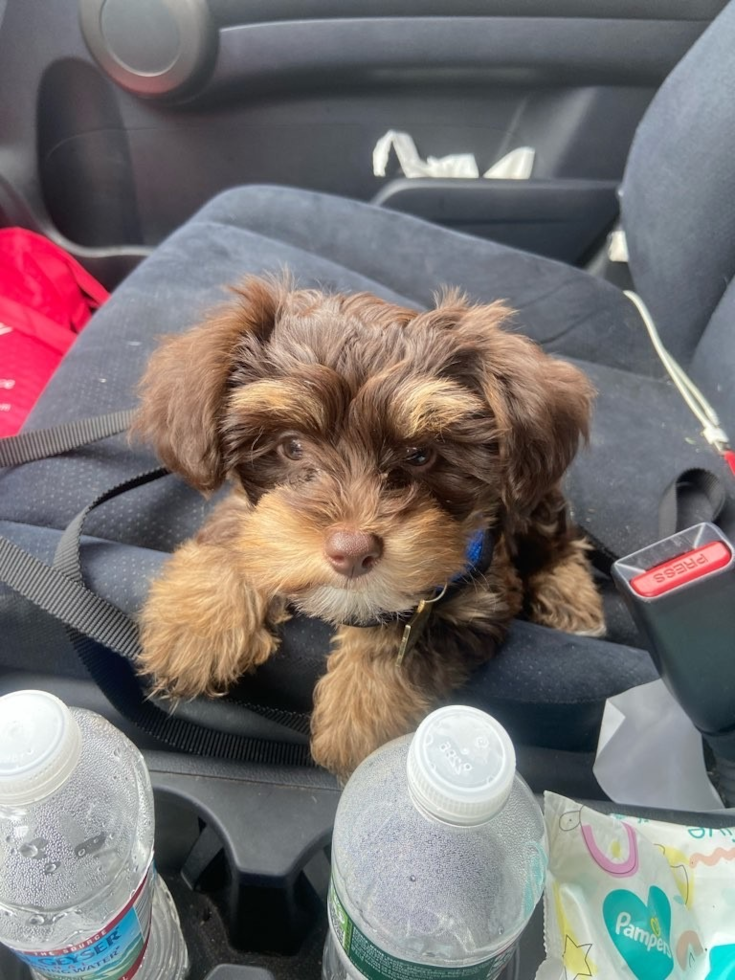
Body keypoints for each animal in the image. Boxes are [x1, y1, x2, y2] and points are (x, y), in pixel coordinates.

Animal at [132, 274, 604, 772]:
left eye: (420, 455)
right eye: (292, 447)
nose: (352, 551)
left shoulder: (483, 595)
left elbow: (404, 637)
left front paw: (362, 716)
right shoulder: (256, 513)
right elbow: (242, 524)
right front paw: (196, 624)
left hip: (533, 500)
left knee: (560, 539)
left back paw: (573, 602)